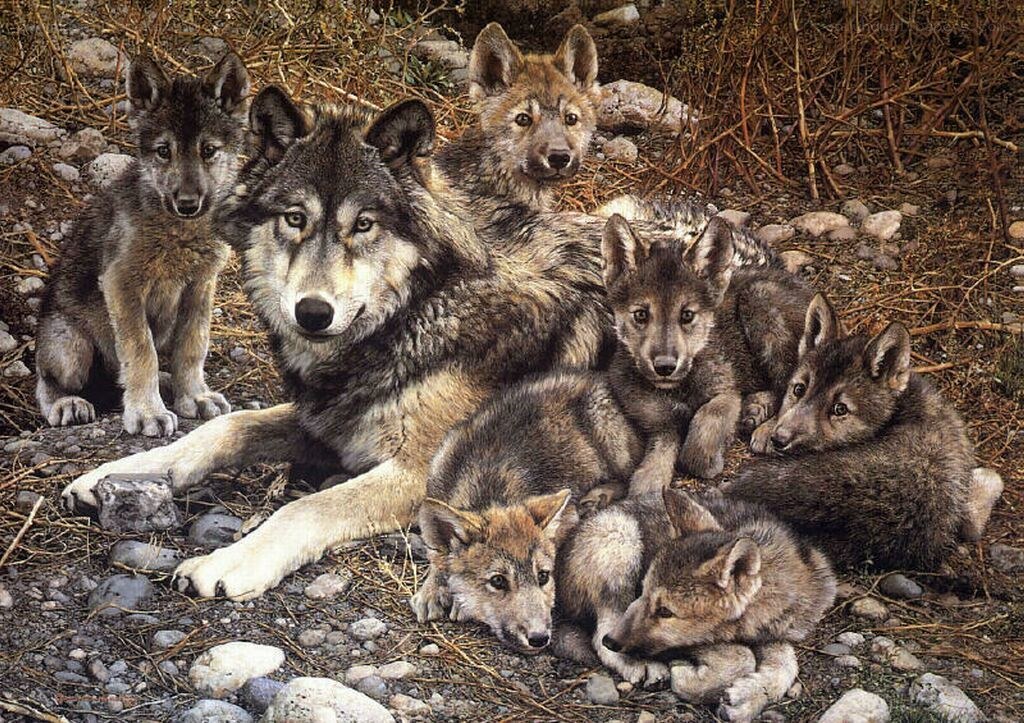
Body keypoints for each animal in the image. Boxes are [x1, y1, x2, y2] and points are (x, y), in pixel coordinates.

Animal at [35, 52, 249, 436]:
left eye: (208, 150)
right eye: (164, 151)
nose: (187, 204)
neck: (178, 233)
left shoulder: (200, 286)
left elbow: (192, 347)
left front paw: (194, 396)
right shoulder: (121, 285)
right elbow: (140, 352)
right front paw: (148, 412)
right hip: (69, 347)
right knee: (48, 382)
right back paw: (68, 403)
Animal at [60, 91, 612, 600]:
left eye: (363, 225)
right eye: (294, 219)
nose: (312, 312)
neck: (421, 309)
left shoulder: (422, 474)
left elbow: (304, 507)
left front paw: (229, 561)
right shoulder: (327, 419)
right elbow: (222, 429)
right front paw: (115, 473)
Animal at [410, 370, 642, 654]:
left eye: (543, 576)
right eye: (498, 581)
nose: (539, 638)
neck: (488, 486)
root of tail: (597, 377)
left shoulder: (567, 518)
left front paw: (457, 603)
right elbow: (437, 556)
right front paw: (431, 591)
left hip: (609, 435)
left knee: (628, 476)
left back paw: (597, 497)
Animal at [557, 488, 835, 720]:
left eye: (665, 611)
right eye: (642, 591)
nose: (612, 642)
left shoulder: (774, 633)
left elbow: (787, 666)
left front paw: (749, 698)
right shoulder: (693, 640)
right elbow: (742, 656)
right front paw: (691, 681)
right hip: (620, 542)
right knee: (598, 635)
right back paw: (639, 663)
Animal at [601, 213, 812, 490]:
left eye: (687, 315)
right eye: (641, 315)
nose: (665, 367)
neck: (679, 388)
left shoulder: (726, 394)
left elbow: (702, 431)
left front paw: (709, 459)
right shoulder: (661, 424)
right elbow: (652, 468)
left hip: (759, 300)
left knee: (790, 381)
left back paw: (766, 428)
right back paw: (755, 408)